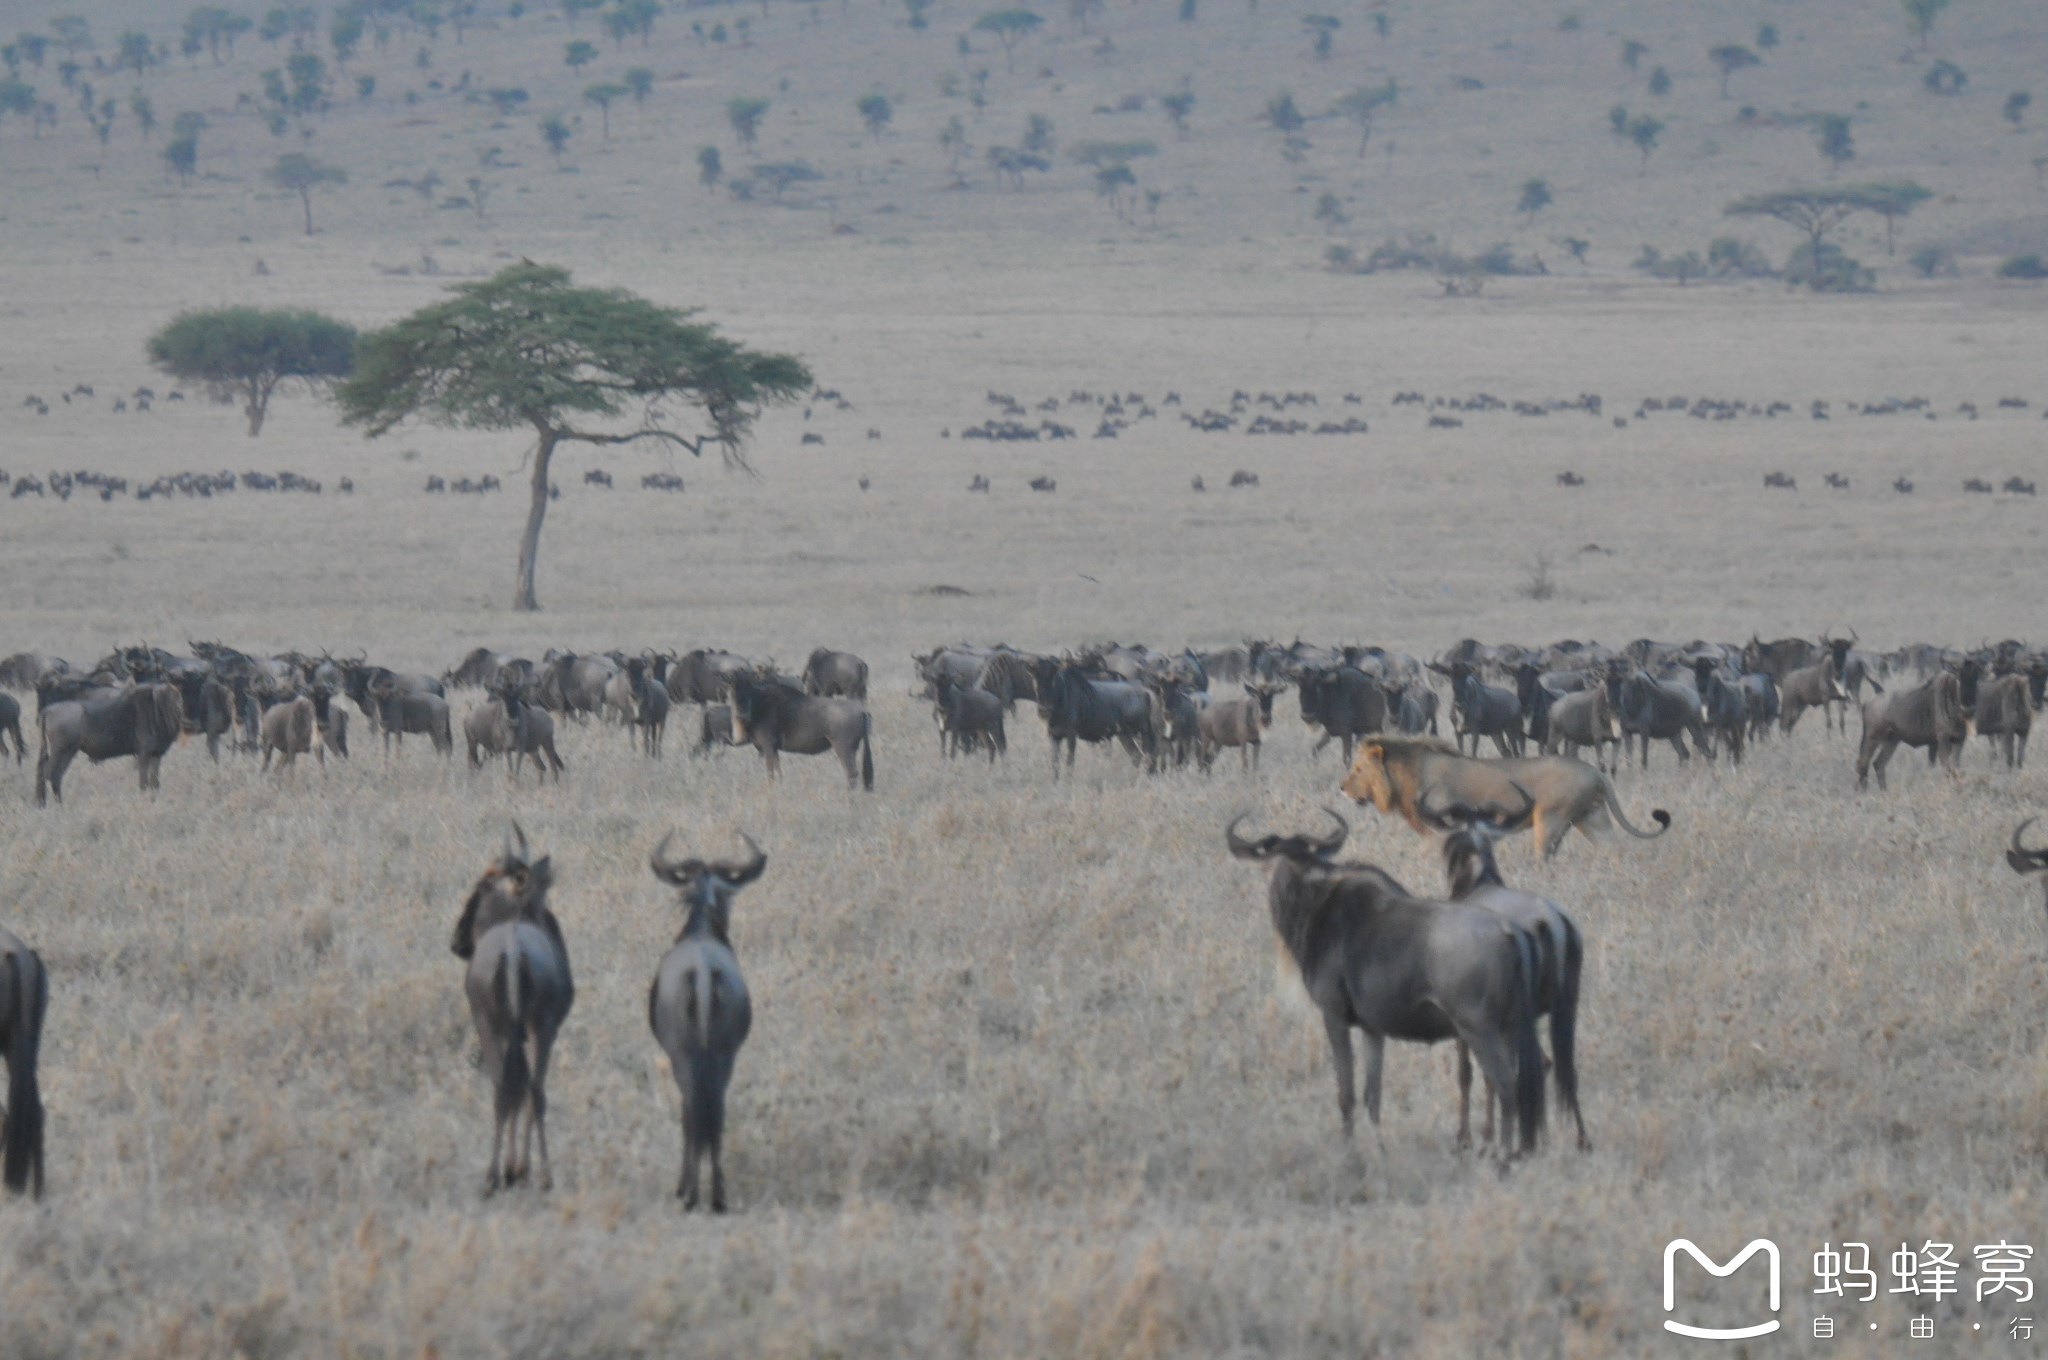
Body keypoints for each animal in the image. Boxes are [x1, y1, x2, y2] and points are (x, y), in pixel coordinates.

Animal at [1343, 737, 1662, 856]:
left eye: (1357, 769)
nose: (1342, 788)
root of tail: (1596, 772)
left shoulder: (1445, 825)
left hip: (1550, 820)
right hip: (1592, 817)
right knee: (1613, 848)